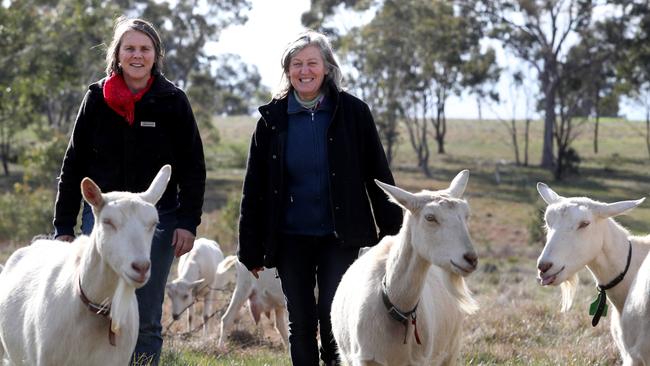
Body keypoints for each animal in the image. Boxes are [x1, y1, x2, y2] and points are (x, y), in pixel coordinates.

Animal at [334, 171, 476, 366]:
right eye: (430, 217)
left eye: (466, 214)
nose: (471, 259)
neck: (396, 306)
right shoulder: (364, 359)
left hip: (450, 350)